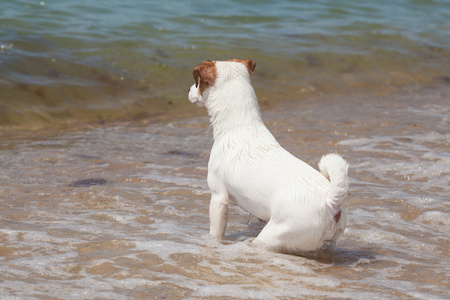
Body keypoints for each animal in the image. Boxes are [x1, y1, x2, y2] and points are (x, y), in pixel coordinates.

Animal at [188, 58, 350, 253]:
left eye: (198, 83)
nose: (188, 90)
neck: (241, 126)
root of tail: (330, 203)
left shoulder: (219, 198)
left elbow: (216, 233)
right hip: (329, 241)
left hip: (272, 236)